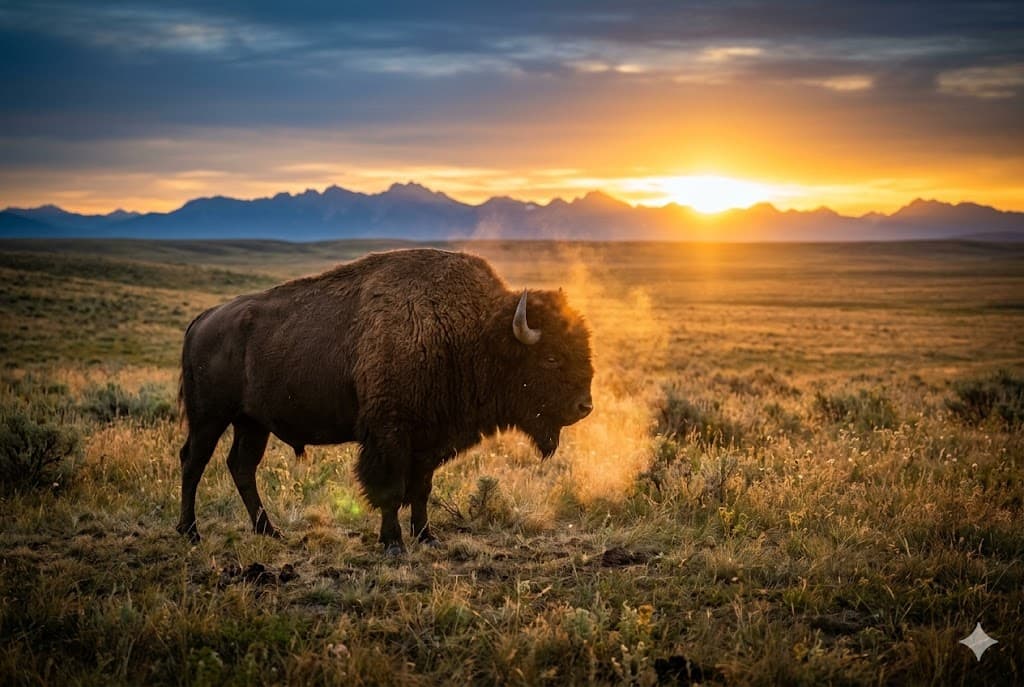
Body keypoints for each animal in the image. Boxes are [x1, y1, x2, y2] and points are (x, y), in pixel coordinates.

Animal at [177, 248, 594, 554]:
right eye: (551, 357)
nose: (584, 407)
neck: (473, 331)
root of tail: (203, 319)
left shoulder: (430, 439)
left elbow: (421, 489)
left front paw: (427, 537)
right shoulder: (389, 434)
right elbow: (391, 489)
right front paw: (393, 543)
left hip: (252, 423)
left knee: (241, 466)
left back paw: (269, 531)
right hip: (209, 417)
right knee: (193, 462)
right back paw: (190, 532)